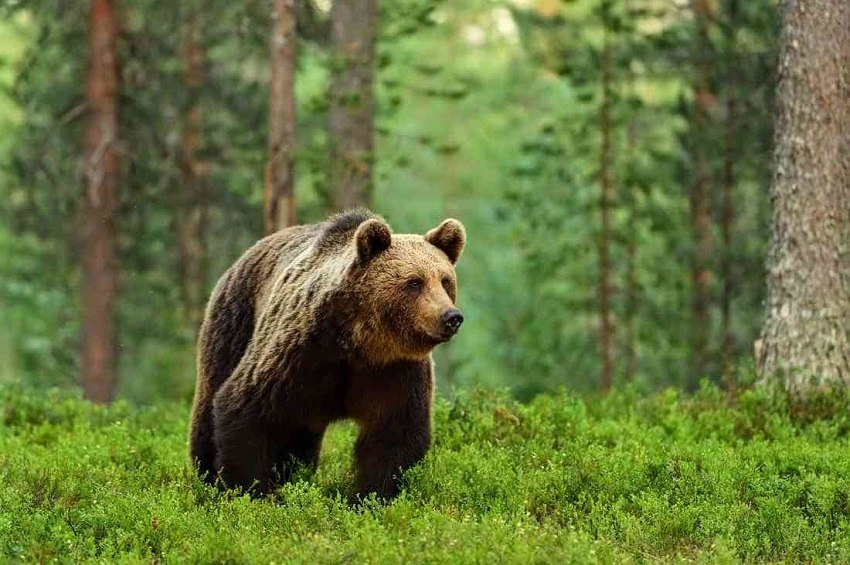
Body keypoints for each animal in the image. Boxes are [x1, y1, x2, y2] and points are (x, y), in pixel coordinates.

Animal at [188, 209, 466, 500]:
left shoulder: (396, 370)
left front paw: (371, 496)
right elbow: (245, 408)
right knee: (210, 401)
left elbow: (394, 437)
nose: (451, 317)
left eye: (445, 280)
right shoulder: (300, 354)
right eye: (414, 282)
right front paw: (250, 491)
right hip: (234, 324)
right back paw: (206, 473)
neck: (361, 343)